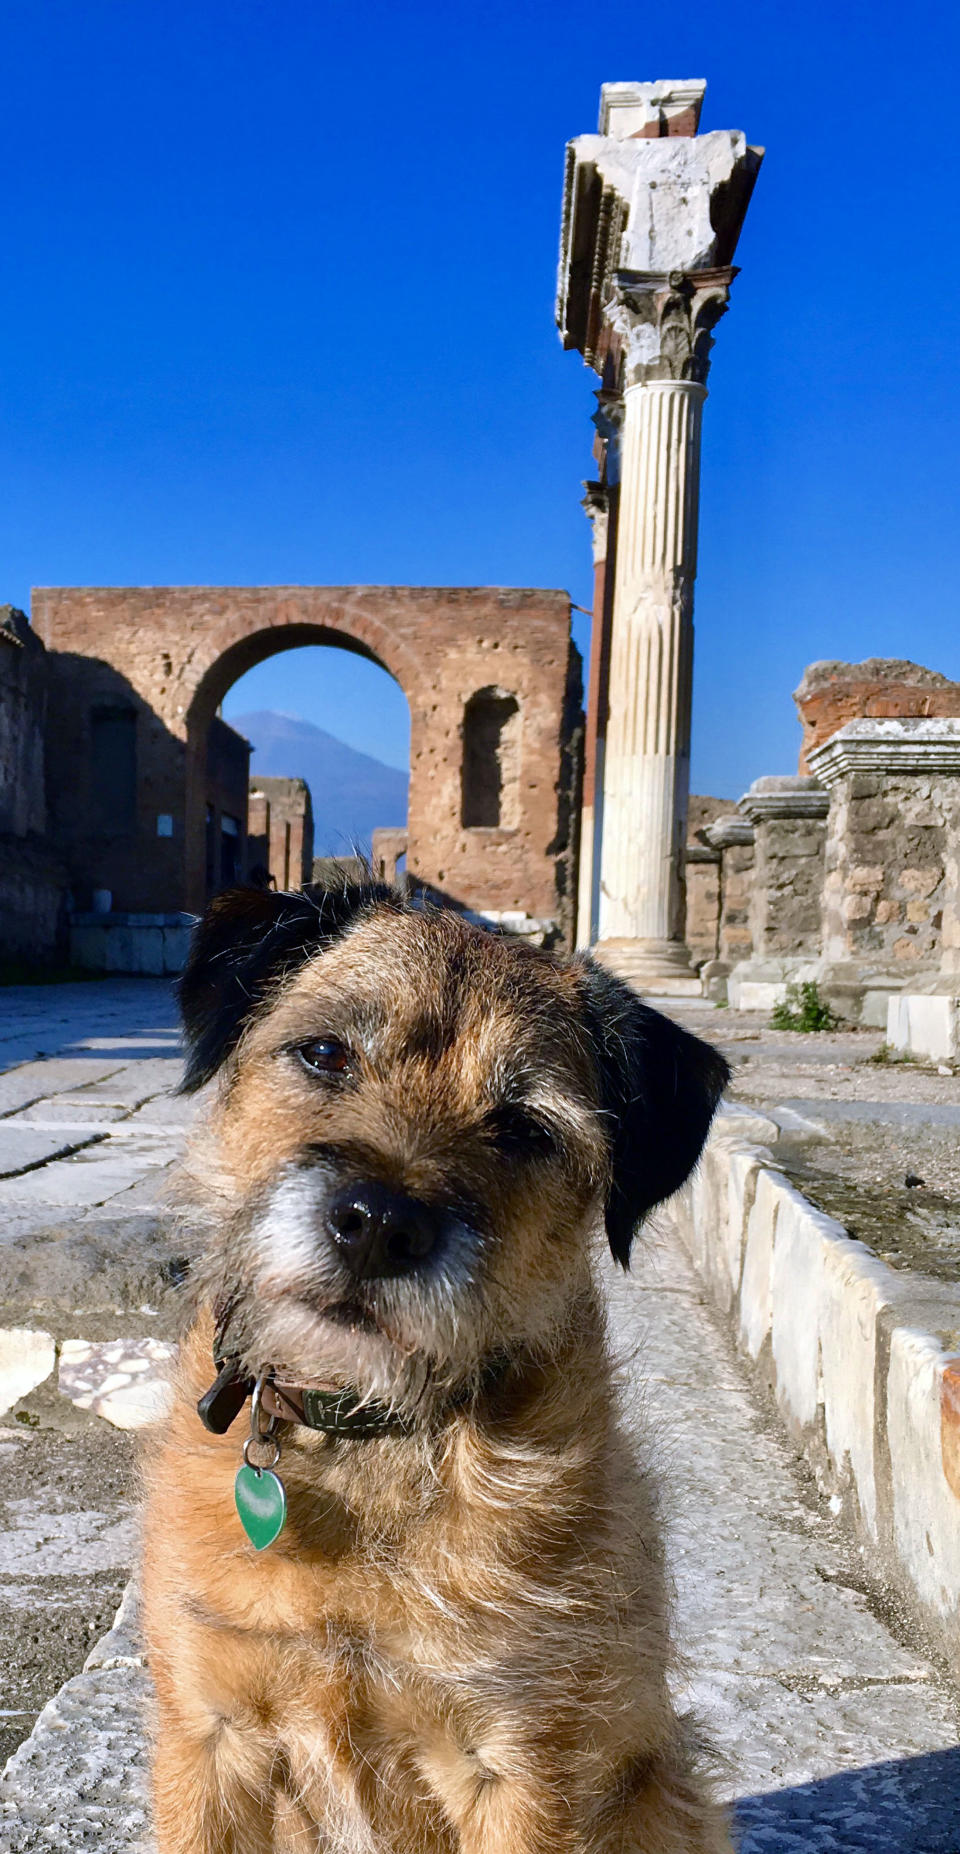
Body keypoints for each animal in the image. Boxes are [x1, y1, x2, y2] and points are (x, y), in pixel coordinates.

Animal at [140, 886, 730, 1854]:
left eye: (524, 1127)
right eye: (325, 1053)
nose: (379, 1224)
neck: (364, 1441)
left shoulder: (521, 1771)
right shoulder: (208, 1734)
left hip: (662, 1800)